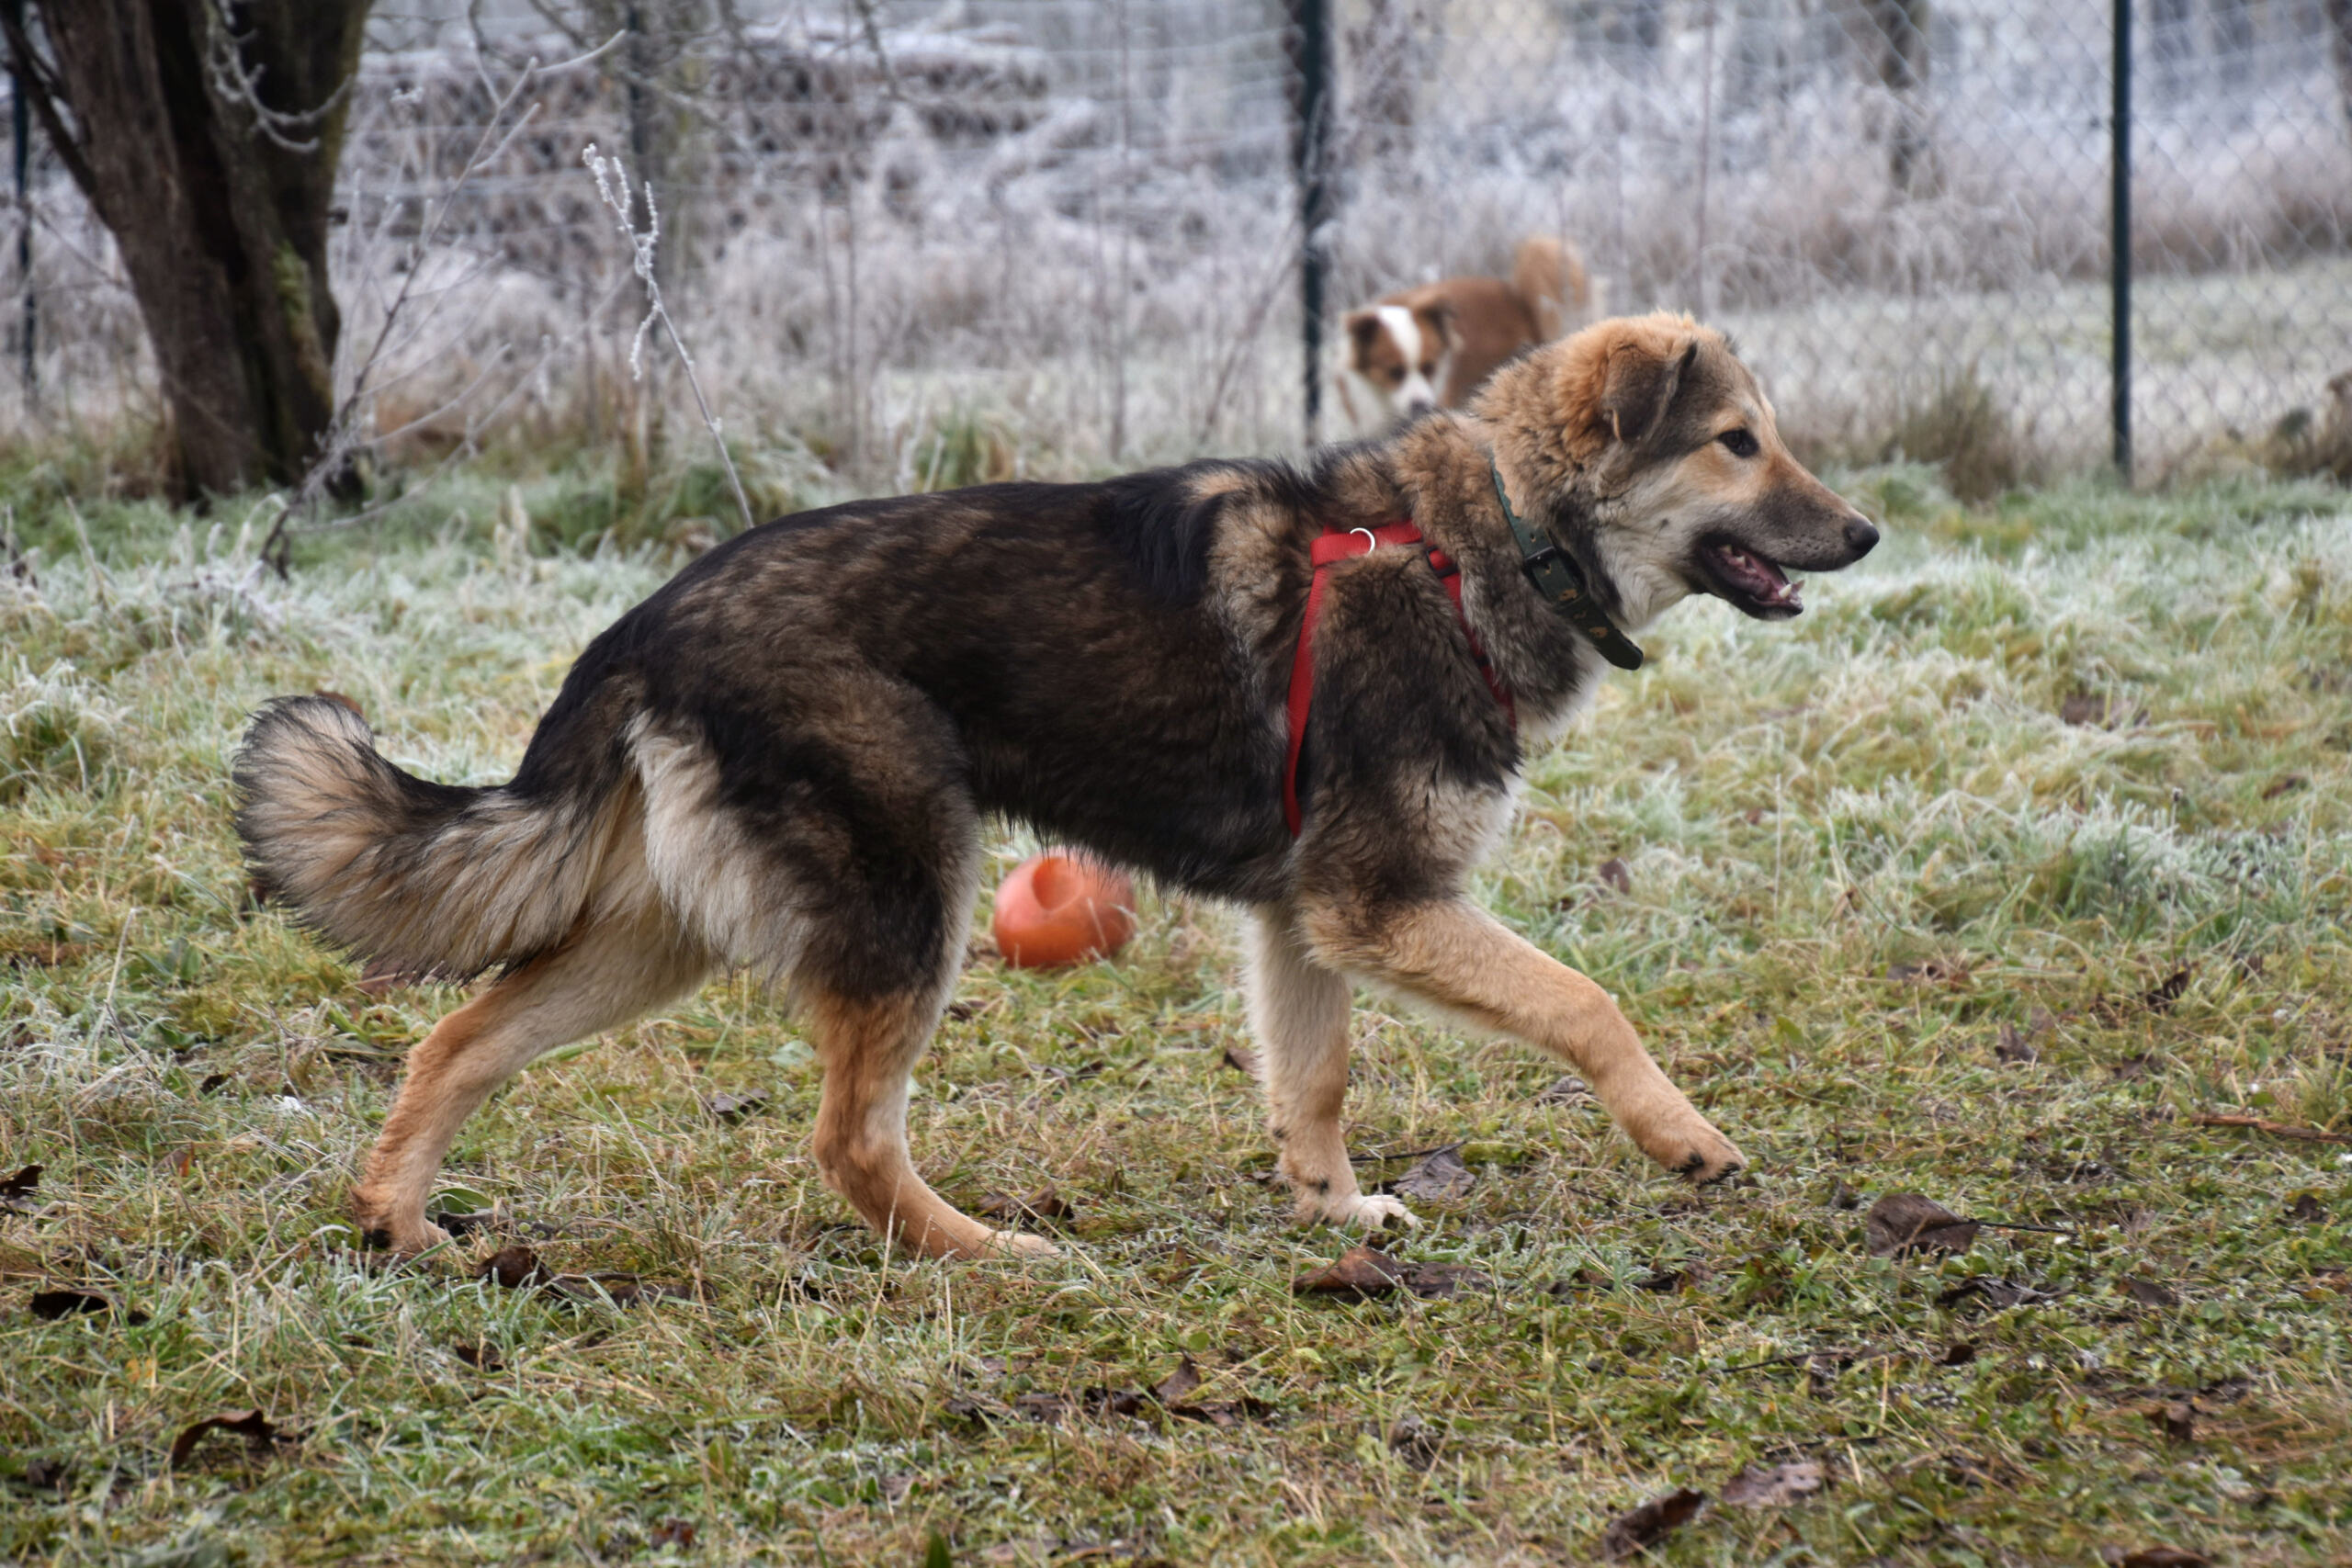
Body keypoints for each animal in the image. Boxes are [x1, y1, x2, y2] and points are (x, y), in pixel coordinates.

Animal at [238, 314, 1882, 1259]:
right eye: (1740, 443)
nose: (1867, 533)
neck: (1490, 540)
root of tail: (646, 622)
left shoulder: (1307, 924)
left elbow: (1315, 1080)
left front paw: (1334, 1210)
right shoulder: (1385, 906)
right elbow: (1590, 1005)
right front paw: (1684, 1136)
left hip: (670, 932)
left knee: (463, 1035)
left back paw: (398, 1218)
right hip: (910, 903)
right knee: (849, 1137)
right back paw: (985, 1254)